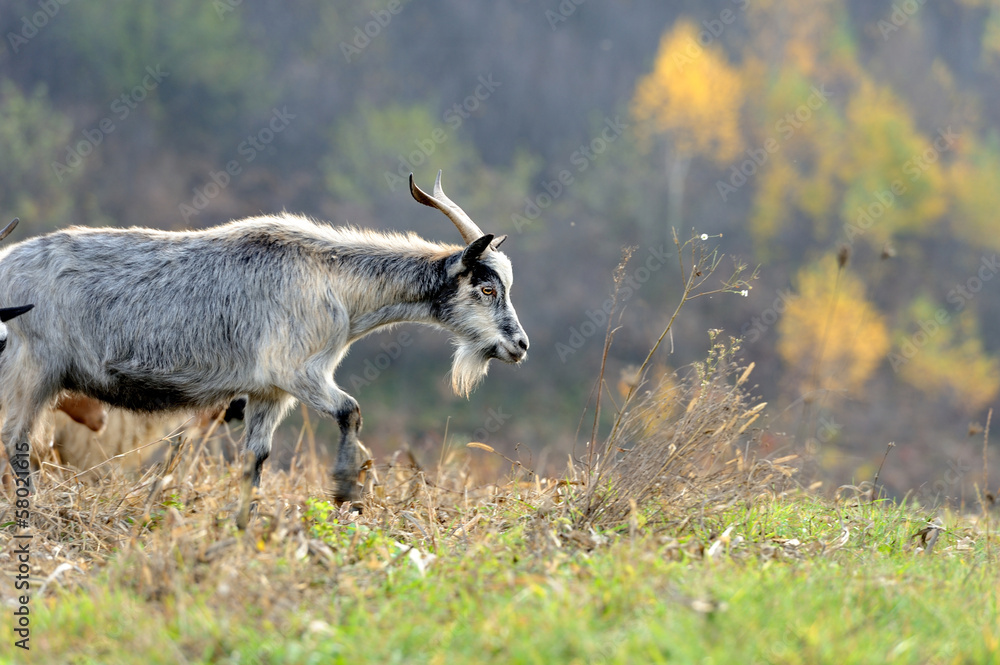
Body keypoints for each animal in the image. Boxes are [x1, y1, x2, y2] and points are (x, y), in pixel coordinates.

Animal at [0, 170, 532, 520]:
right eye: (487, 288)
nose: (521, 345)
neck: (334, 281)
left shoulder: (266, 393)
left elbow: (254, 460)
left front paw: (242, 523)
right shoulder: (296, 370)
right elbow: (351, 409)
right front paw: (347, 489)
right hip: (30, 370)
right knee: (17, 441)